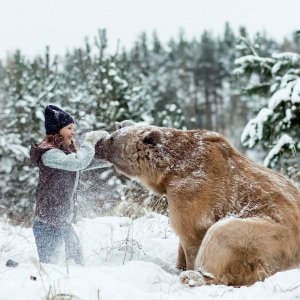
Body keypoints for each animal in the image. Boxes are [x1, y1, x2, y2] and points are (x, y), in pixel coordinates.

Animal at [94, 120, 300, 288]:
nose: (98, 143)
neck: (169, 170)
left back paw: (197, 277)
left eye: (112, 138)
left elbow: (192, 232)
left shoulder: (193, 190)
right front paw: (178, 266)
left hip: (274, 237)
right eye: (114, 132)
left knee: (223, 232)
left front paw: (188, 269)